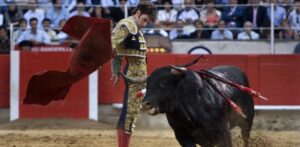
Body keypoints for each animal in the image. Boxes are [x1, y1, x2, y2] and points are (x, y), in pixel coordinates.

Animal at [121, 64, 253, 147]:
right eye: (147, 85)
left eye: (163, 84)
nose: (145, 104)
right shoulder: (183, 137)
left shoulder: (224, 133)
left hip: (247, 122)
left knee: (246, 137)